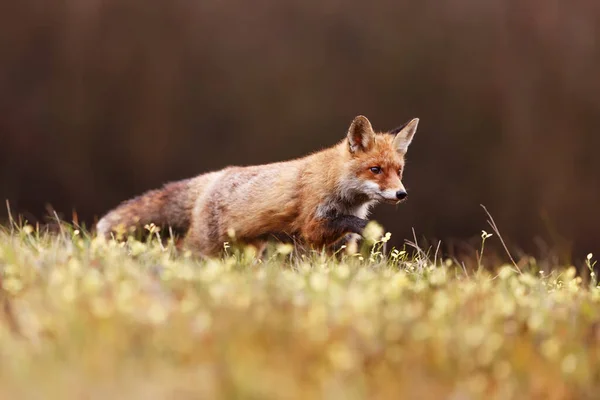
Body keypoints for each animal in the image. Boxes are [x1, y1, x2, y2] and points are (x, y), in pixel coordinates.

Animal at [97, 116, 418, 256]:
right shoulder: (312, 225)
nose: (401, 194)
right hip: (204, 242)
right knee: (179, 248)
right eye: (375, 170)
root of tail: (213, 176)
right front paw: (372, 230)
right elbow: (344, 224)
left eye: (398, 171)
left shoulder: (339, 242)